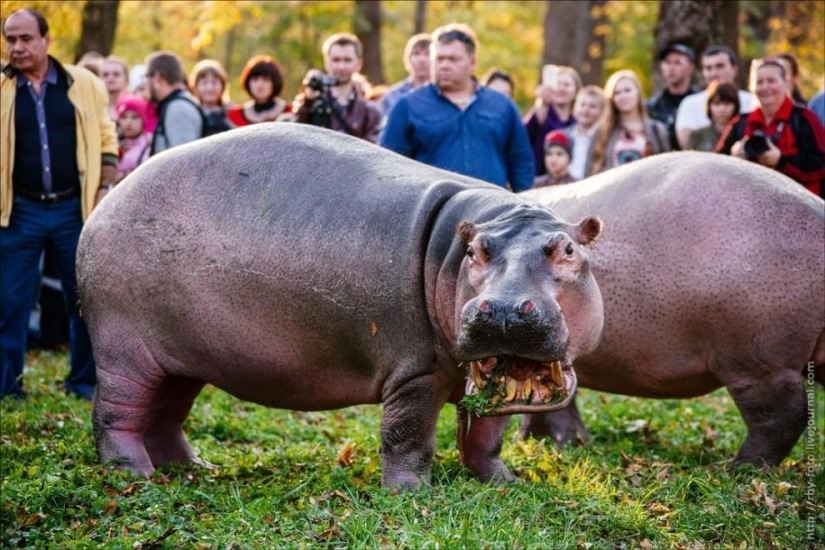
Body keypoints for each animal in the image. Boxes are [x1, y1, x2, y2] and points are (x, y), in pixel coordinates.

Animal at [77, 124, 604, 489]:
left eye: (568, 249)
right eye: (477, 251)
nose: (505, 309)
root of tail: (105, 203)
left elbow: (485, 438)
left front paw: (505, 483)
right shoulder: (416, 372)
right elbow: (407, 434)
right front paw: (411, 494)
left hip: (182, 359)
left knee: (166, 414)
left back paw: (192, 467)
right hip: (123, 349)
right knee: (115, 412)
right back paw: (133, 475)